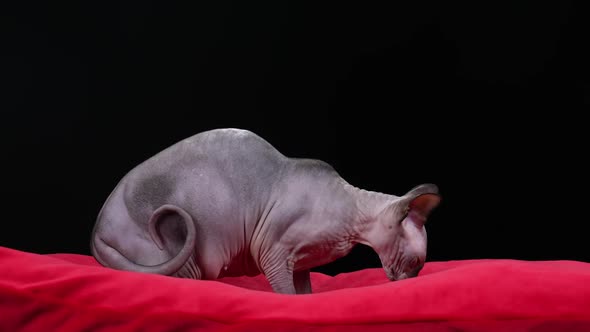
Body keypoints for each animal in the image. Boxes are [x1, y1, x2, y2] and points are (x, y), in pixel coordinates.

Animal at [90, 128, 442, 294]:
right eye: (416, 263)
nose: (407, 283)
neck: (352, 209)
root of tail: (97, 230)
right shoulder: (273, 255)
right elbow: (287, 297)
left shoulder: (299, 263)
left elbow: (306, 295)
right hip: (181, 257)